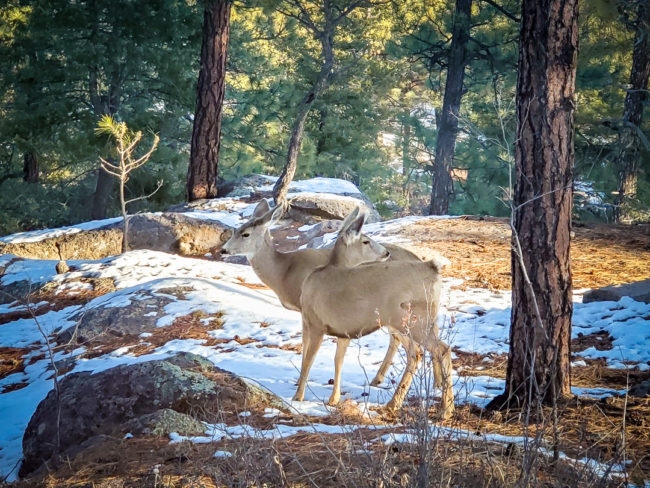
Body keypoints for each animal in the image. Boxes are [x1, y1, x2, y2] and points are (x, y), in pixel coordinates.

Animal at [220, 198, 428, 388]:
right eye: (236, 230)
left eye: (245, 234)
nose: (223, 250)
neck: (284, 271)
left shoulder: (307, 309)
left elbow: (305, 342)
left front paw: (300, 381)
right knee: (397, 339)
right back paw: (378, 379)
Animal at [296, 219, 454, 418]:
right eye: (365, 241)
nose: (386, 252)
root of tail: (433, 269)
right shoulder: (341, 330)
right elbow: (336, 360)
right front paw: (334, 399)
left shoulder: (315, 322)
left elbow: (308, 359)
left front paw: (298, 396)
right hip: (412, 320)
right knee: (418, 352)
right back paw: (397, 402)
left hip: (410, 319)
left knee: (439, 349)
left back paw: (445, 410)